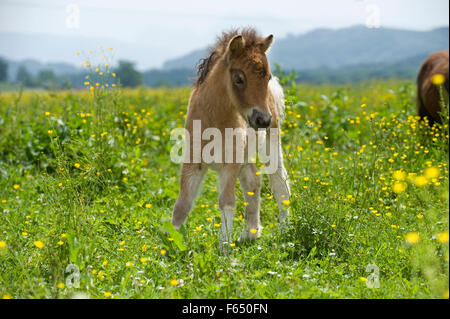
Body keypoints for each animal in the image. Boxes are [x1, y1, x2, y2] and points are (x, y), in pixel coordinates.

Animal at [171, 28, 290, 250]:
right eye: (239, 78)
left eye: (267, 77)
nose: (262, 119)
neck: (214, 120)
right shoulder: (192, 162)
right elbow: (182, 205)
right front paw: (167, 246)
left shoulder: (230, 164)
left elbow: (226, 201)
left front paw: (224, 248)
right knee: (253, 181)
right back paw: (250, 234)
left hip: (271, 143)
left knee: (280, 184)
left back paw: (285, 231)